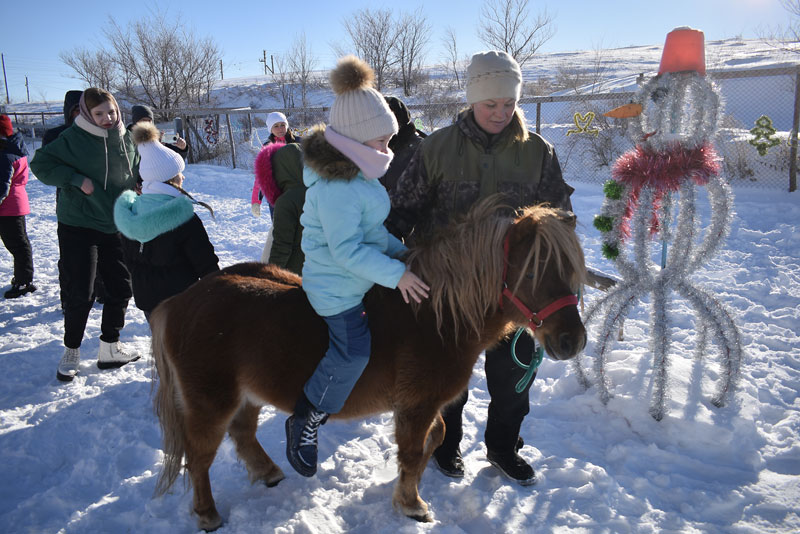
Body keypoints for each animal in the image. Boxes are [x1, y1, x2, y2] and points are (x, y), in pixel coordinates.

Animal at [148, 199, 588, 532]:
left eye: (571, 270)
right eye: (532, 271)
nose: (573, 341)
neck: (434, 316)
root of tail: (179, 302)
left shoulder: (423, 406)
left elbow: (436, 437)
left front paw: (407, 489)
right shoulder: (416, 405)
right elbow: (412, 449)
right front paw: (412, 504)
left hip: (249, 394)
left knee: (242, 433)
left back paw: (269, 471)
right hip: (210, 402)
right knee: (199, 456)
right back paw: (207, 514)